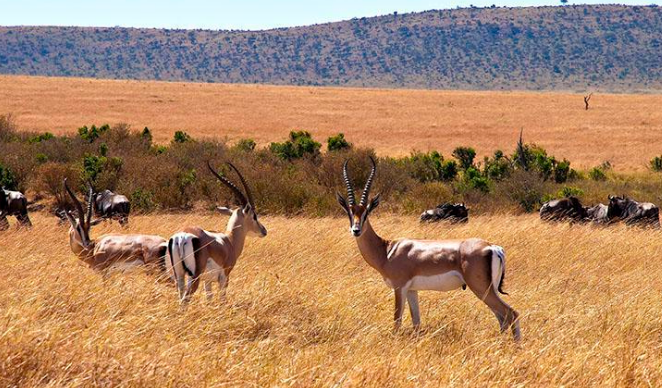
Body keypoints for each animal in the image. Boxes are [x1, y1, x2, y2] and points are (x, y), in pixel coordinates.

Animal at [166, 162, 268, 304]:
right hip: (194, 277)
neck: (229, 241)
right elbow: (223, 299)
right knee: (185, 299)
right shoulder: (224, 276)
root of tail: (182, 236)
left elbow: (209, 298)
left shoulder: (207, 280)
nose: (264, 230)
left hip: (179, 275)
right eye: (254, 216)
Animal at [340, 158, 520, 340]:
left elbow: (397, 321)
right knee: (502, 318)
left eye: (366, 213)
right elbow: (416, 322)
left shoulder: (399, 287)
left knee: (511, 313)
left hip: (481, 288)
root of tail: (492, 247)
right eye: (350, 212)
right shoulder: (412, 290)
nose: (356, 230)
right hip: (490, 290)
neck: (387, 251)